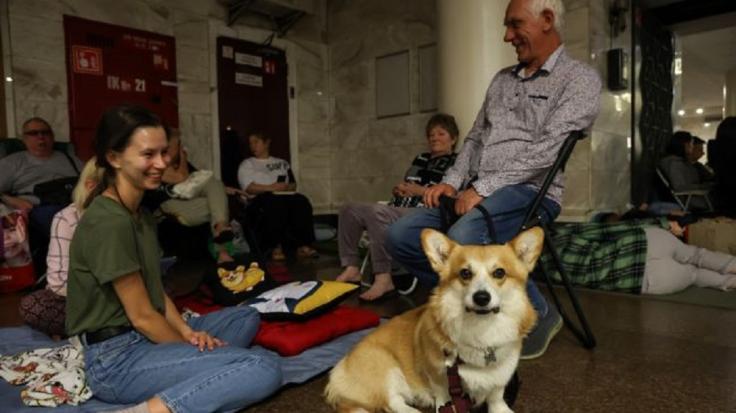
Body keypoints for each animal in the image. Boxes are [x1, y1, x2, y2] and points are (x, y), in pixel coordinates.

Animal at [324, 227, 544, 413]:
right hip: (385, 367)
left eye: (499, 272)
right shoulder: (439, 374)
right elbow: (443, 395)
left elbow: (496, 396)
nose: (481, 298)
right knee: (392, 402)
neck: (482, 328)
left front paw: (501, 408)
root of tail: (340, 369)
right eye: (465, 273)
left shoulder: (501, 375)